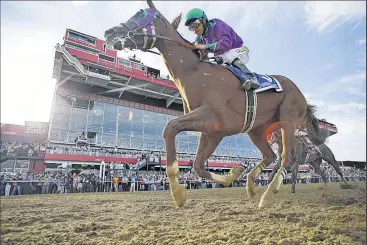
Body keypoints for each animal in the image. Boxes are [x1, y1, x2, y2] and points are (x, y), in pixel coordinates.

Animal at [104, 0, 324, 208]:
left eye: (140, 14)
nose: (109, 32)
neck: (195, 71)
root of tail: (300, 93)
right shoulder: (211, 131)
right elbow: (199, 166)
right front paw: (233, 173)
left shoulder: (213, 118)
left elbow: (170, 128)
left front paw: (177, 191)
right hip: (257, 129)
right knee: (270, 156)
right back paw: (251, 185)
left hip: (288, 120)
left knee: (288, 158)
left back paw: (268, 195)